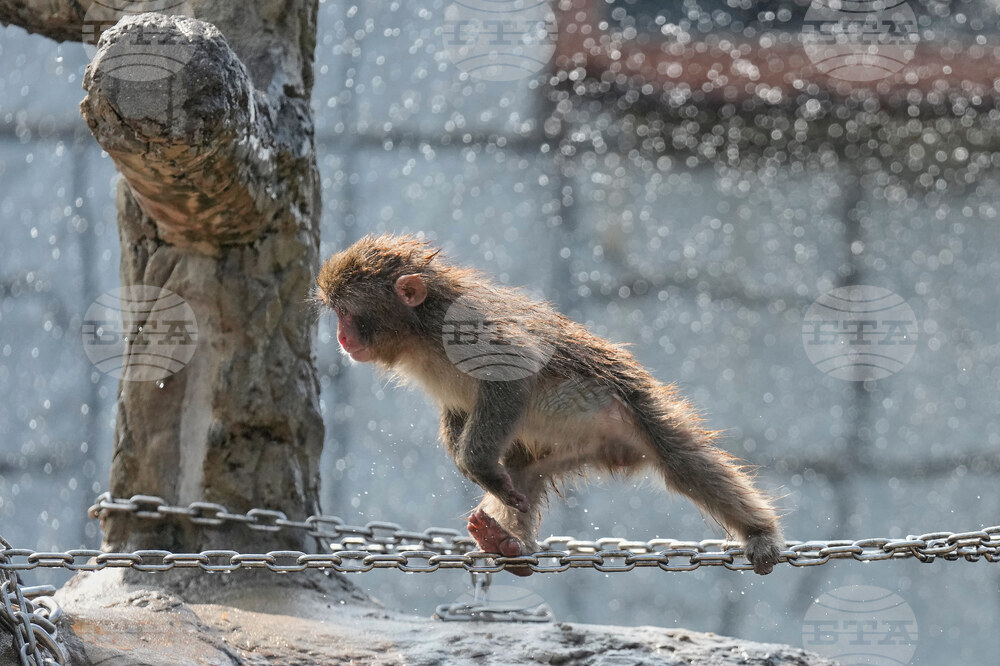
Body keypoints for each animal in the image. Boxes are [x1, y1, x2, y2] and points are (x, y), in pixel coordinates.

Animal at [316, 234, 784, 576]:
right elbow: (460, 414)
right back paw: (509, 546)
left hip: (637, 410)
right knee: (524, 472)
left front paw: (474, 465)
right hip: (569, 448)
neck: (417, 330)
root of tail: (619, 452)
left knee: (683, 462)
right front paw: (475, 469)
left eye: (348, 312)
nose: (341, 337)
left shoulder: (461, 327)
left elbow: (512, 375)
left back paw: (760, 532)